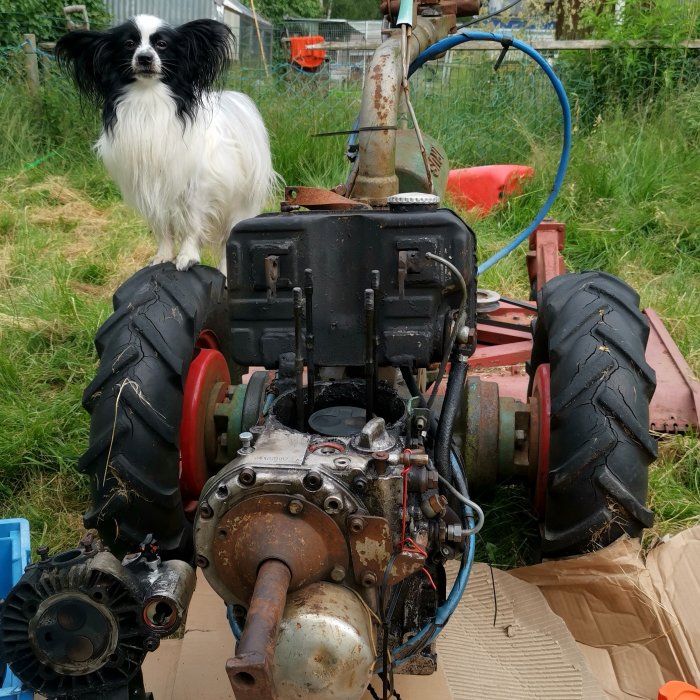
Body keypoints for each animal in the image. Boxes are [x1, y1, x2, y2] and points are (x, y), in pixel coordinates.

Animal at [56, 15, 276, 274]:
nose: (144, 58)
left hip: (239, 205)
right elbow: (162, 227)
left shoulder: (194, 188)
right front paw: (163, 255)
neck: (148, 100)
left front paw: (187, 256)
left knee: (228, 240)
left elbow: (192, 225)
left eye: (161, 45)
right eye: (129, 44)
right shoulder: (151, 187)